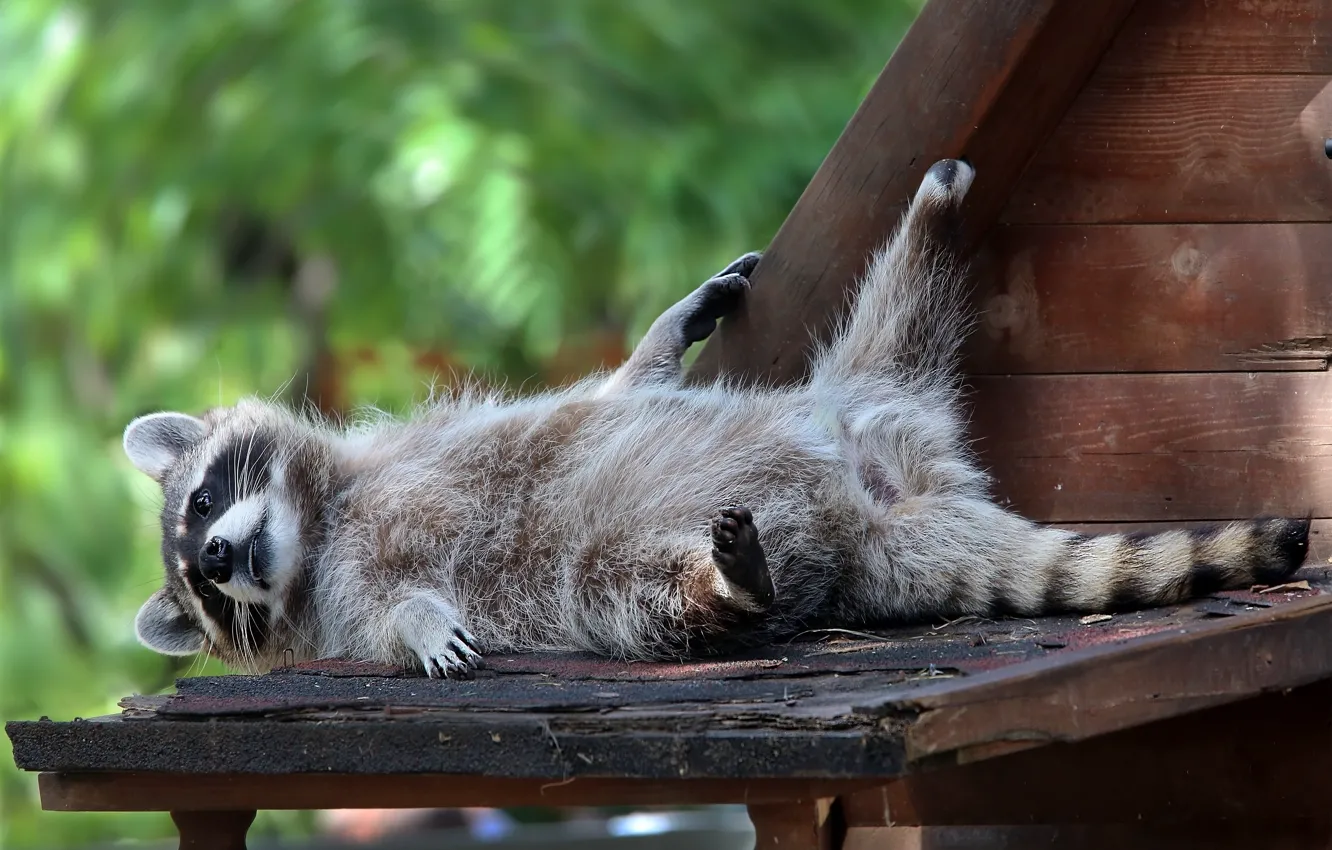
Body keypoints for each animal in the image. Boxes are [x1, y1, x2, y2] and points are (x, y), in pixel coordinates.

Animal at [124, 159, 1310, 677]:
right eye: (207, 591)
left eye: (205, 502)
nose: (219, 559)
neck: (323, 520)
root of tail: (883, 513)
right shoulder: (342, 595)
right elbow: (382, 618)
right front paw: (418, 627)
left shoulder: (429, 441)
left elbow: (610, 393)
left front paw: (663, 333)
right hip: (657, 561)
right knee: (644, 595)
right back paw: (726, 585)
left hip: (868, 396)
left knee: (902, 311)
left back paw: (931, 219)